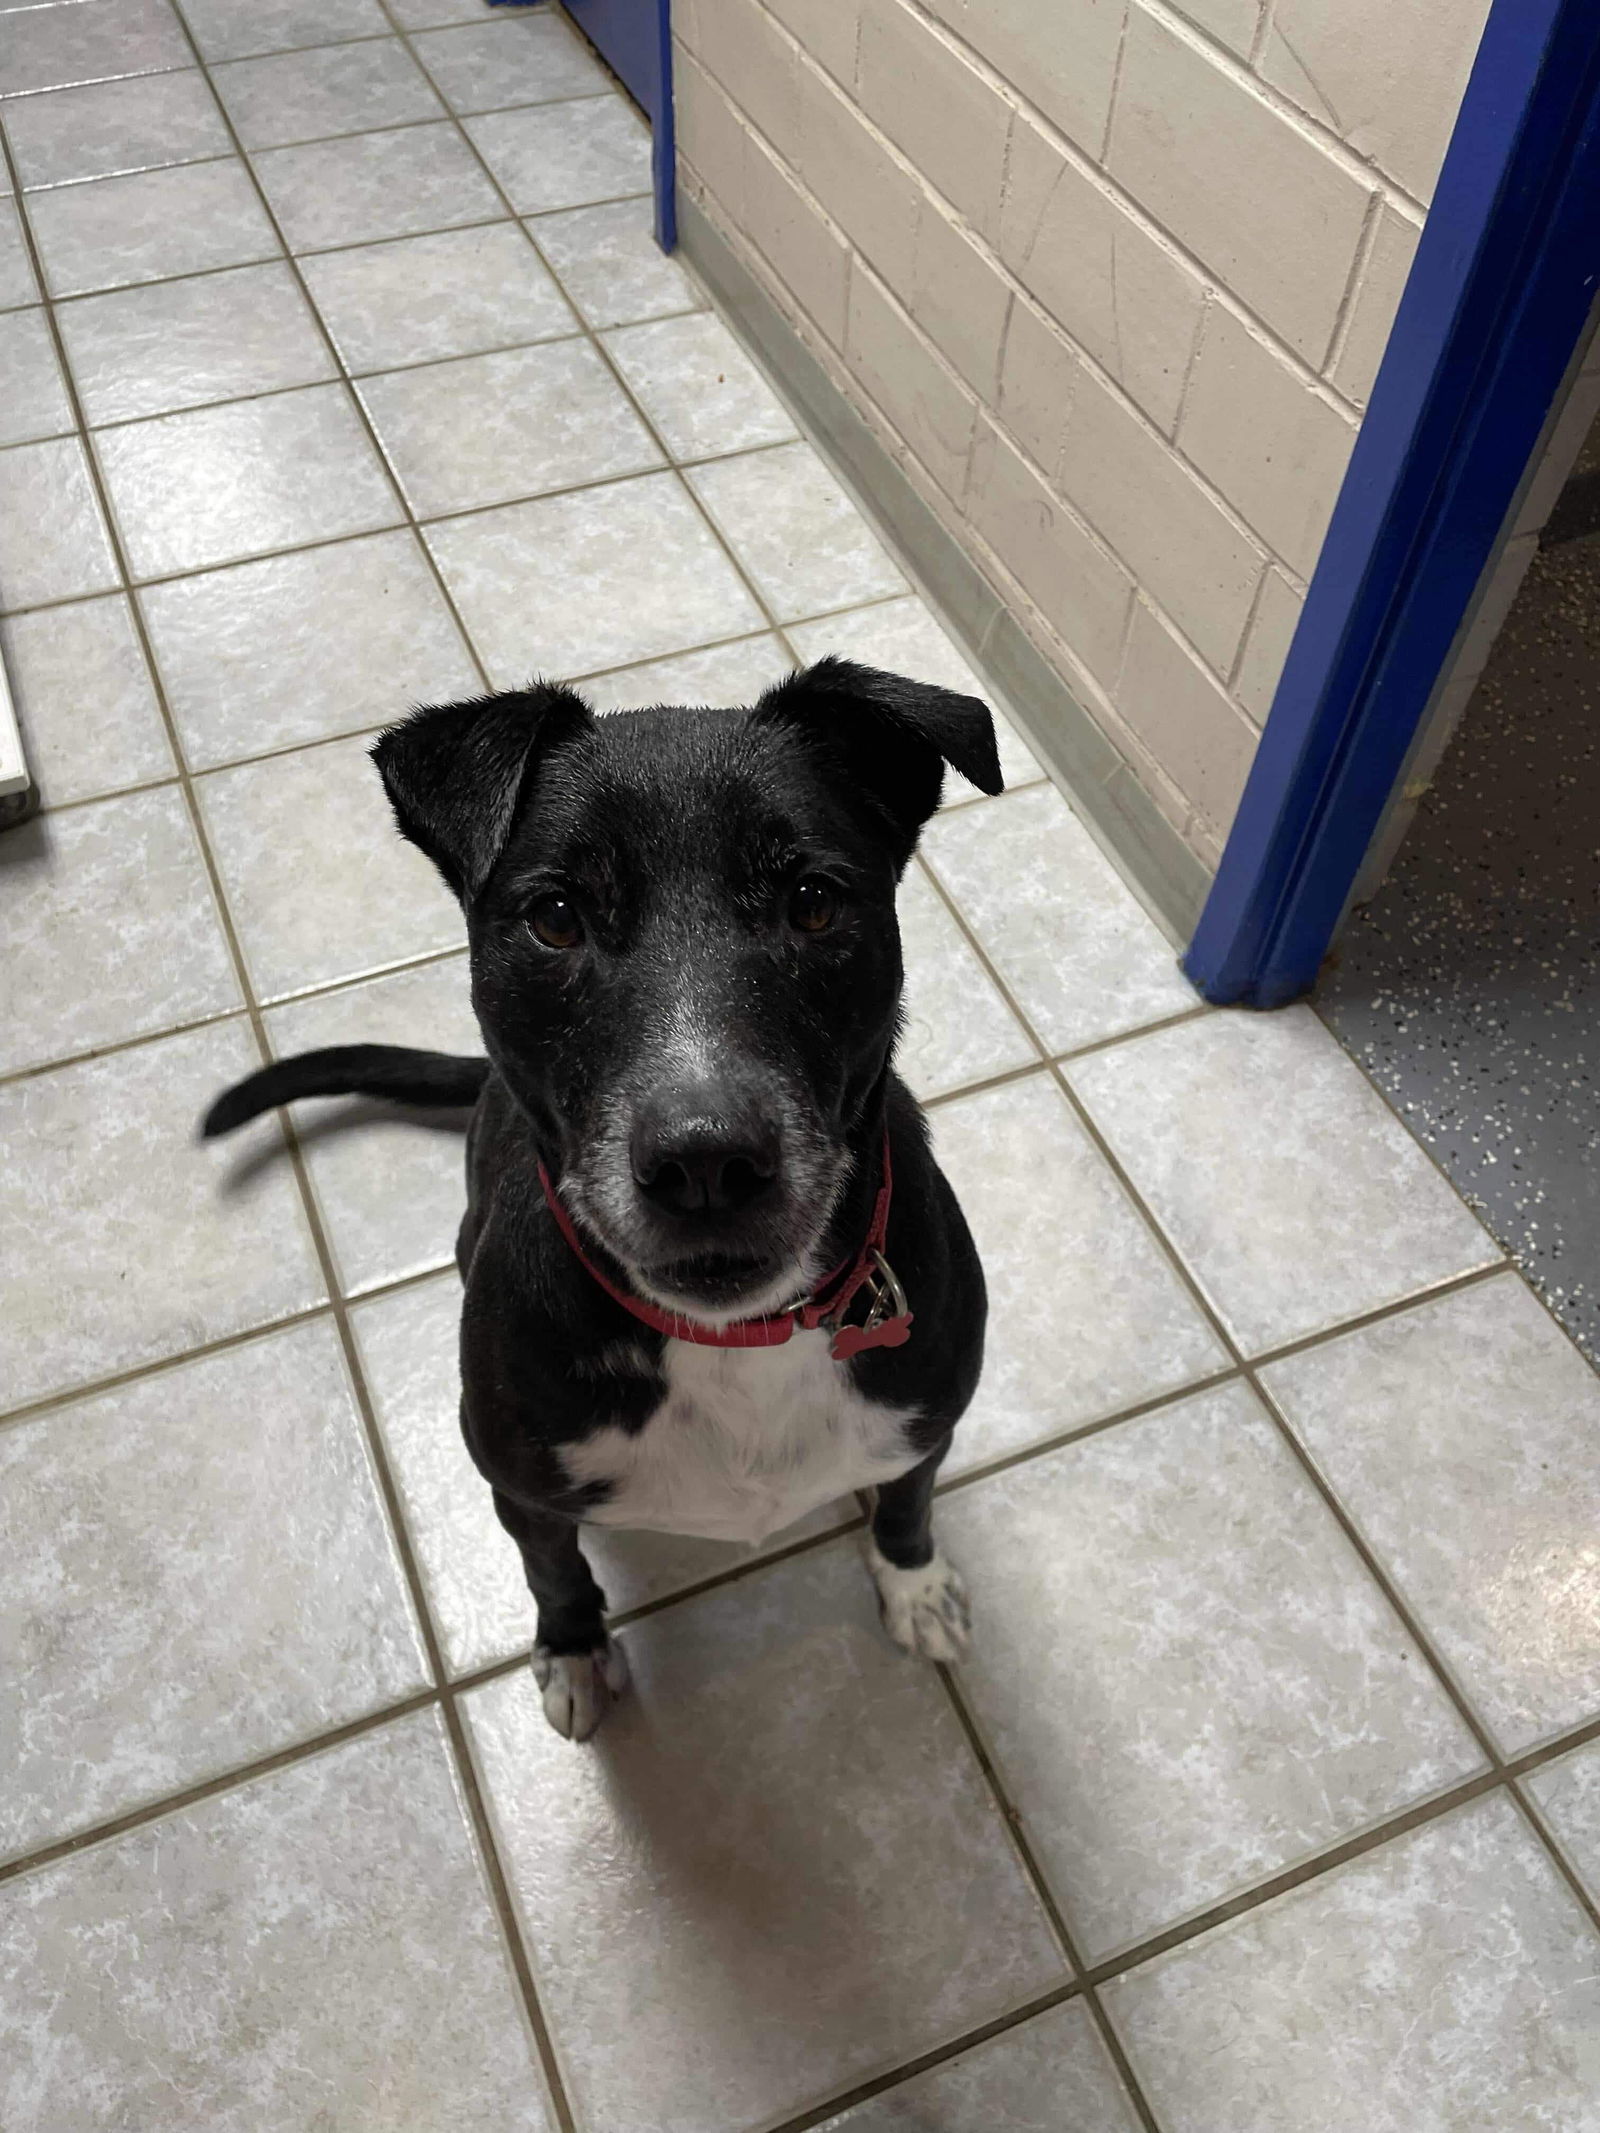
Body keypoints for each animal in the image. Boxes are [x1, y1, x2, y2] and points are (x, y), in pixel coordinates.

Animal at [201, 656, 1002, 1740]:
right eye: (555, 917)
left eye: (813, 901)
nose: (706, 1162)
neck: (737, 1339)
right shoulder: (518, 1484)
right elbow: (553, 1571)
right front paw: (575, 1649)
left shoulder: (927, 1417)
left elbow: (909, 1501)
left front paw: (913, 1583)